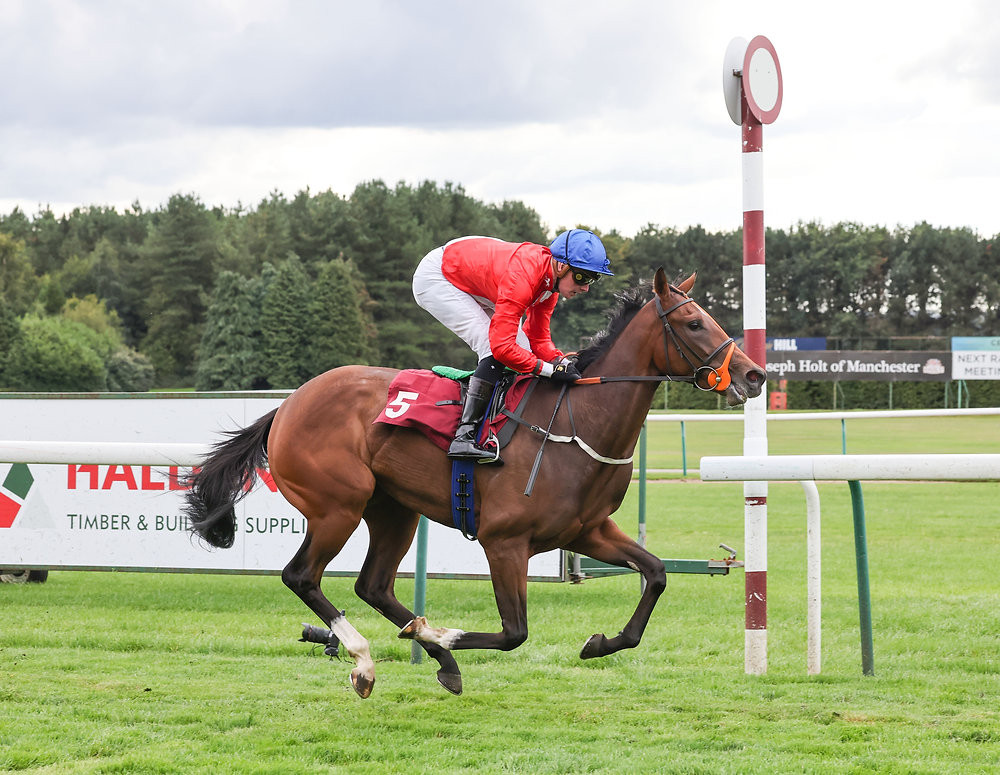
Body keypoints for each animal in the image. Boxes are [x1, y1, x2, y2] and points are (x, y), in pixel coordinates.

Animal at [184, 270, 764, 700]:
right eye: (693, 322)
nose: (754, 375)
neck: (576, 423)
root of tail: (287, 406)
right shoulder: (503, 541)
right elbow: (514, 633)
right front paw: (440, 634)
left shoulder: (588, 531)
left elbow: (656, 573)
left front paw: (600, 642)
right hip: (337, 507)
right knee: (301, 576)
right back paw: (368, 660)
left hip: (393, 509)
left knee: (372, 585)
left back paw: (432, 651)